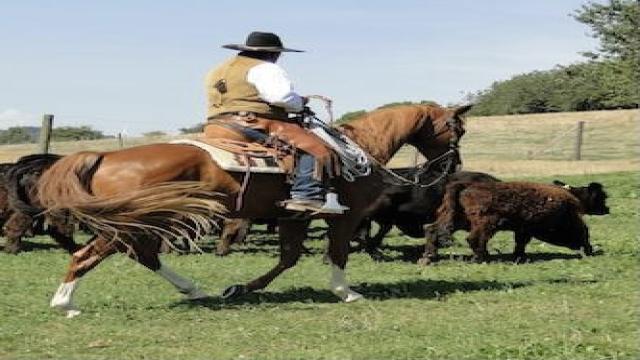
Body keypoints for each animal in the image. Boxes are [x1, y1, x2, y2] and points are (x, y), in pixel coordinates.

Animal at [38, 102, 470, 316]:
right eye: (458, 128)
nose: (451, 166)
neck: (356, 150)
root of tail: (106, 155)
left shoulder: (294, 217)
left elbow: (288, 258)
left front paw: (239, 288)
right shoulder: (344, 218)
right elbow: (337, 254)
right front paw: (346, 292)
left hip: (140, 222)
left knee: (141, 255)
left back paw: (194, 290)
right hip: (135, 221)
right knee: (88, 255)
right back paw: (65, 303)